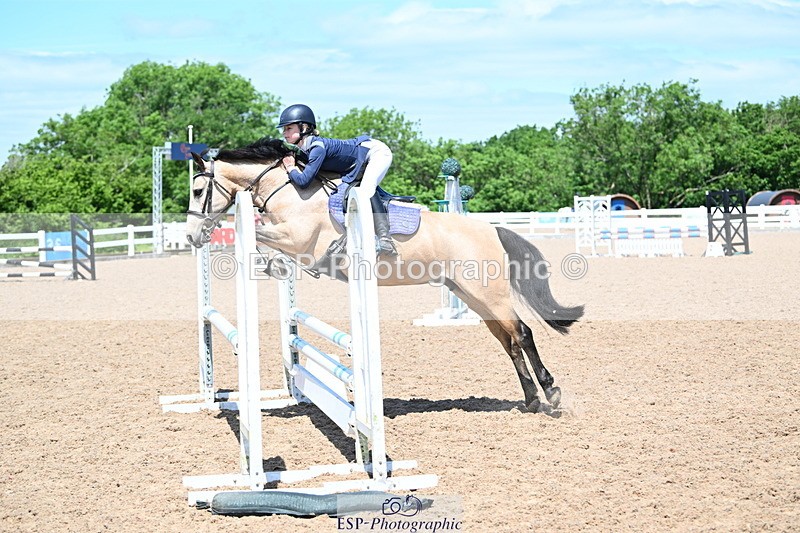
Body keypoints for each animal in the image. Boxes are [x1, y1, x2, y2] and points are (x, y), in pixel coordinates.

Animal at [185, 137, 584, 412]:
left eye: (197, 189)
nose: (191, 236)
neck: (290, 191)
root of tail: (493, 230)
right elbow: (264, 239)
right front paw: (272, 265)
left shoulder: (300, 239)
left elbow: (258, 233)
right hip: (473, 295)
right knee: (509, 342)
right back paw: (531, 400)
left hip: (490, 294)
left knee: (523, 333)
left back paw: (551, 392)